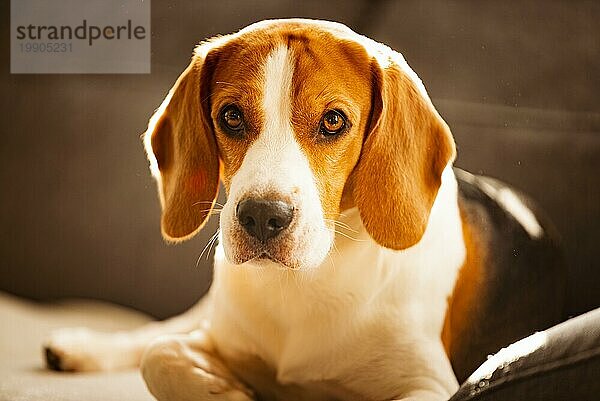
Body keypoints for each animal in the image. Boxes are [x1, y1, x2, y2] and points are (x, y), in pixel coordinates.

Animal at [44, 19, 564, 400]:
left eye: (333, 121)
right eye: (230, 116)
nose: (261, 216)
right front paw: (229, 390)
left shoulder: (428, 385)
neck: (304, 283)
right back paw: (83, 347)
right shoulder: (211, 338)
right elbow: (159, 353)